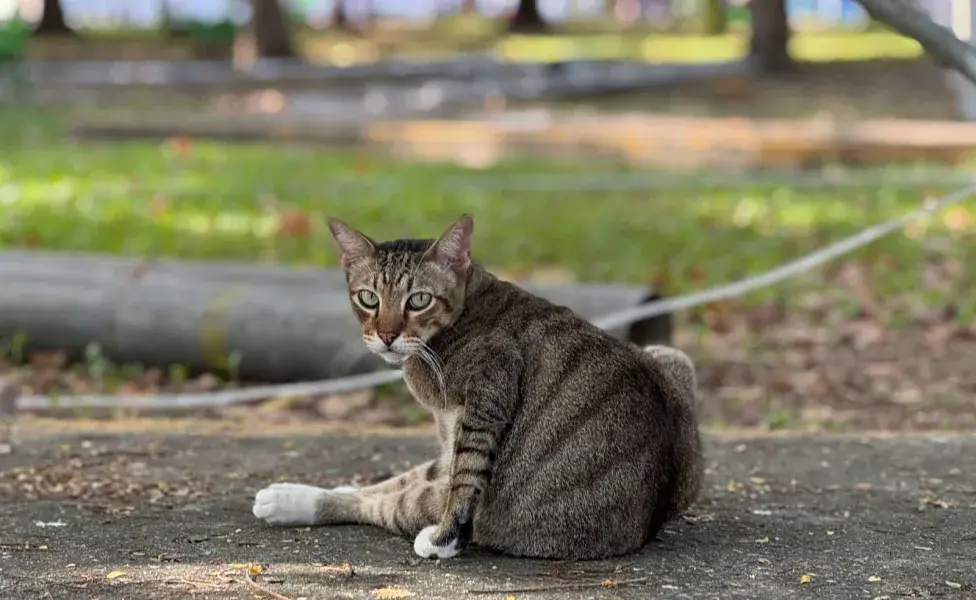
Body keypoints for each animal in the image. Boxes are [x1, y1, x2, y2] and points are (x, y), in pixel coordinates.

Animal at [252, 213, 704, 560]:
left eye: (418, 300)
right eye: (368, 298)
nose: (386, 336)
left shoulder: (486, 399)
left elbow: (452, 483)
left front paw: (444, 539)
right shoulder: (448, 438)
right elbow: (410, 475)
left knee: (400, 503)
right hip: (670, 356)